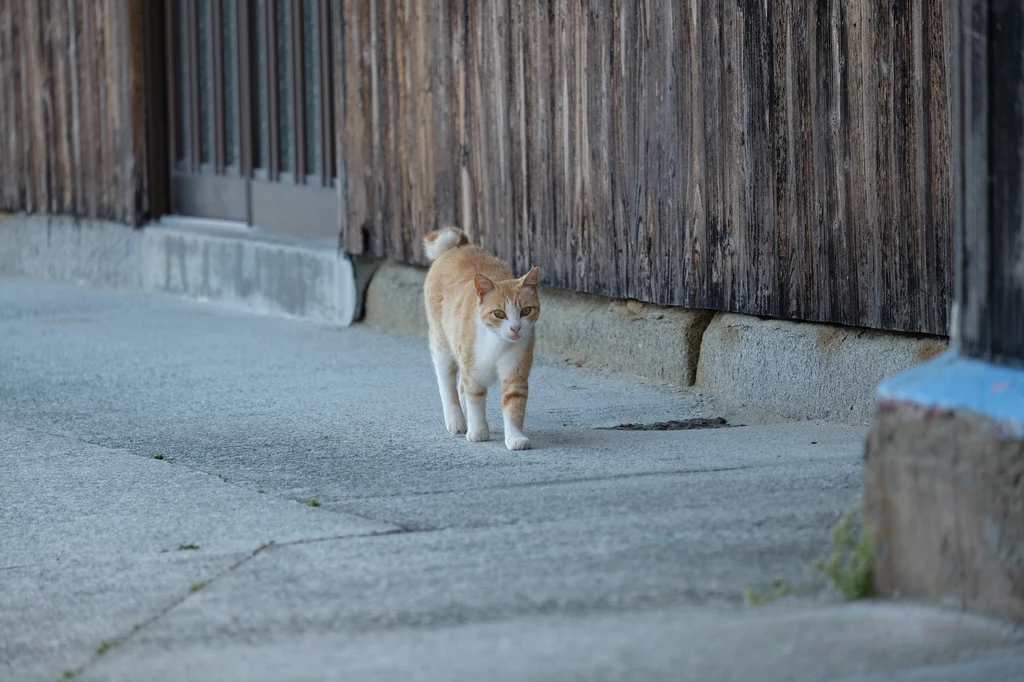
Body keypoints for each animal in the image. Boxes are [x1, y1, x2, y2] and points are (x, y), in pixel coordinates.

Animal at [421, 225, 540, 448]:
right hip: (442, 347)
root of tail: (457, 246)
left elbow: (514, 406)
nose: (515, 328)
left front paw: (515, 437)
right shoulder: (472, 371)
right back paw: (457, 420)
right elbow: (475, 399)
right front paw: (478, 431)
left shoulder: (515, 372)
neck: (497, 343)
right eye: (499, 314)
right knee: (447, 385)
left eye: (526, 311)